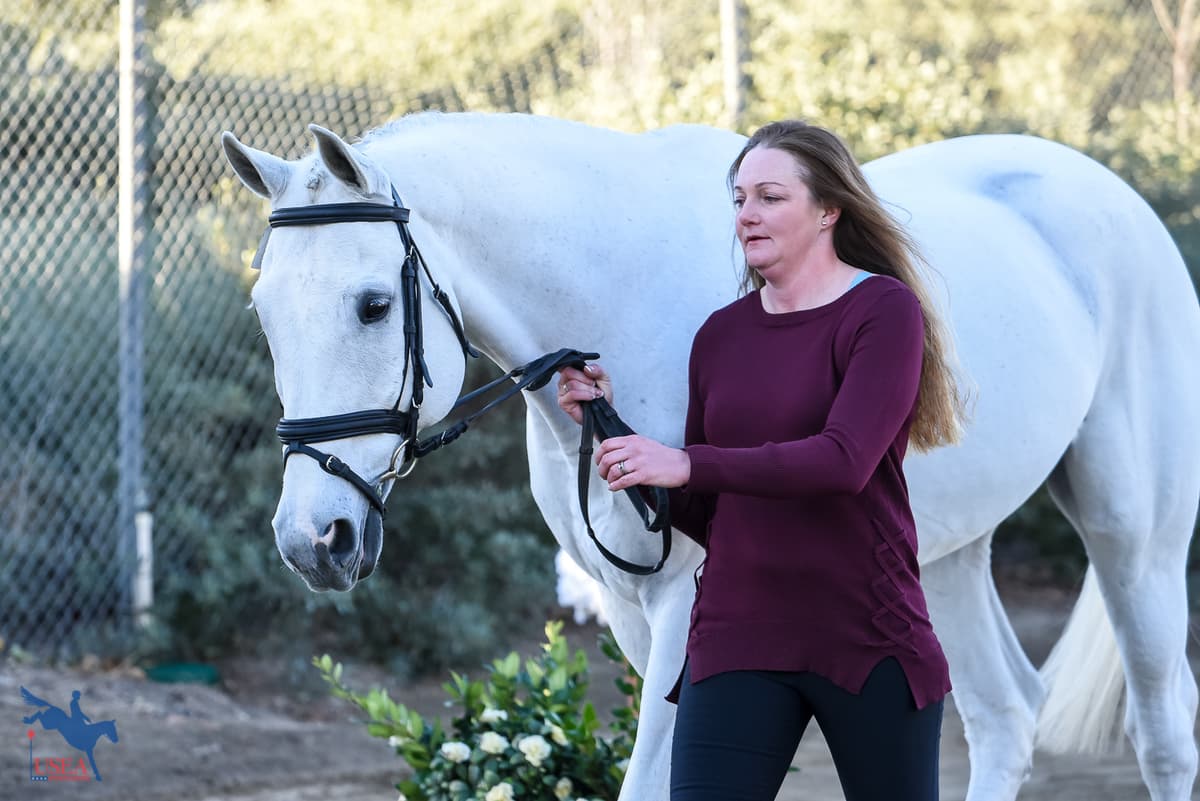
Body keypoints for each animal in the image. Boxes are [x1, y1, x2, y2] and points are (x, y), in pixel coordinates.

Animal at [221, 112, 1200, 801]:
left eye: (374, 304)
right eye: (263, 311)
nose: (314, 538)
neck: (615, 290)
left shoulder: (685, 606)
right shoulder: (627, 609)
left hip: (1133, 539)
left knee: (1161, 730)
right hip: (944, 557)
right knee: (1006, 717)